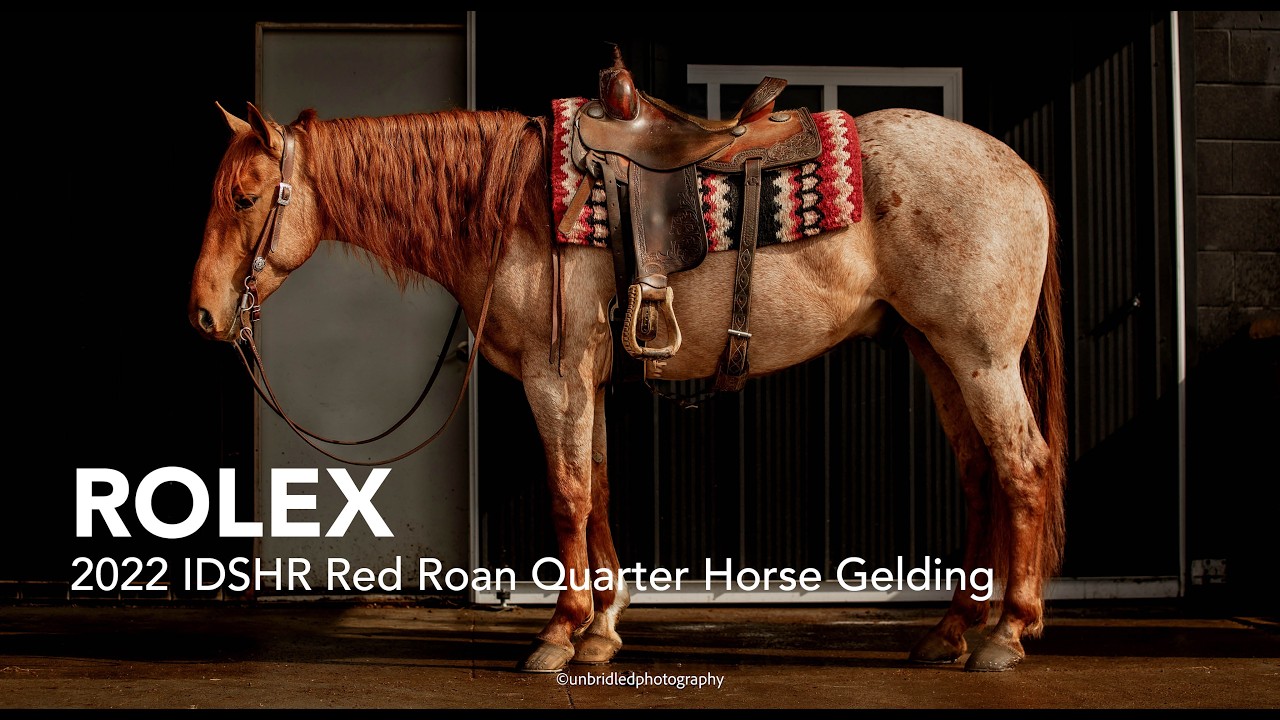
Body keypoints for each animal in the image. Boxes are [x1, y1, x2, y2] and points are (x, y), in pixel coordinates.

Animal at [188, 88, 1067, 673]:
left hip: (980, 356)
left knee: (1023, 469)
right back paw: (951, 631)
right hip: (936, 350)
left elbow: (567, 495)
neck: (511, 206)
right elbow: (600, 487)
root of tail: (1021, 168)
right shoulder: (587, 378)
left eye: (244, 196)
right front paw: (604, 629)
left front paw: (558, 633)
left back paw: (1006, 633)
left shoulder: (554, 375)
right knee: (980, 476)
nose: (202, 312)